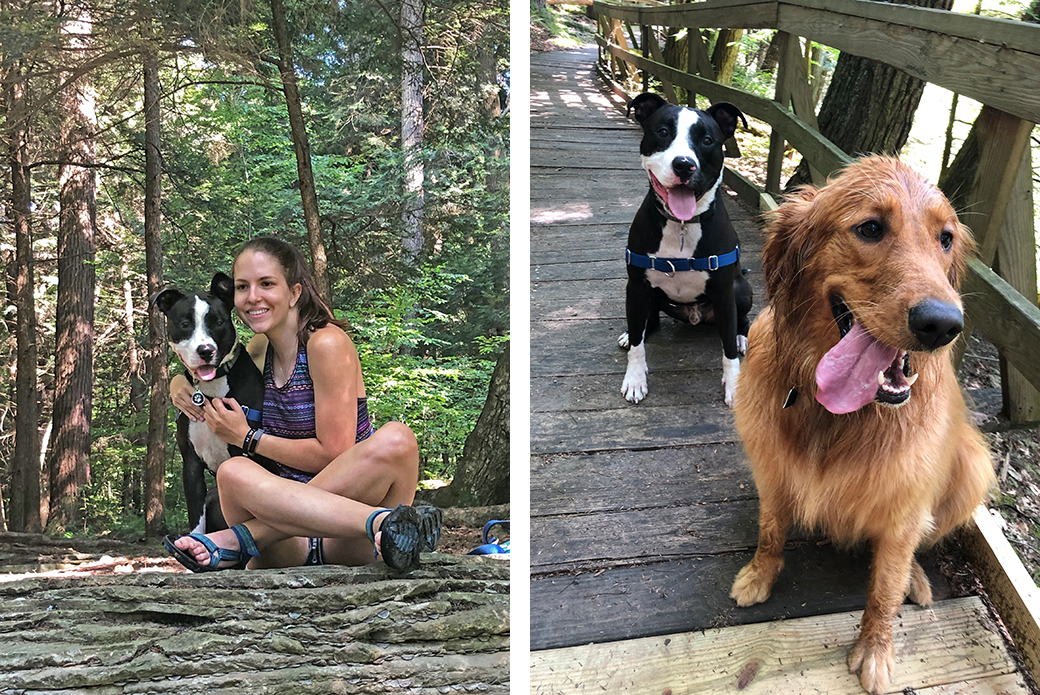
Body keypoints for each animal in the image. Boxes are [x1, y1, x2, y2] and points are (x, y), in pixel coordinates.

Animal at [153, 274, 268, 536]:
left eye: (218, 322)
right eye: (185, 323)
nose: (205, 350)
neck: (211, 392)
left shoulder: (243, 456)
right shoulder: (191, 464)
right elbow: (196, 518)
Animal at [619, 93, 752, 407]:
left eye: (707, 140)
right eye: (662, 132)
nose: (683, 164)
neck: (681, 225)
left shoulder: (725, 293)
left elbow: (728, 351)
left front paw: (734, 385)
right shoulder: (636, 286)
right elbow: (638, 346)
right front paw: (635, 378)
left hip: (742, 290)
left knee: (742, 322)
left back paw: (740, 337)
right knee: (648, 322)